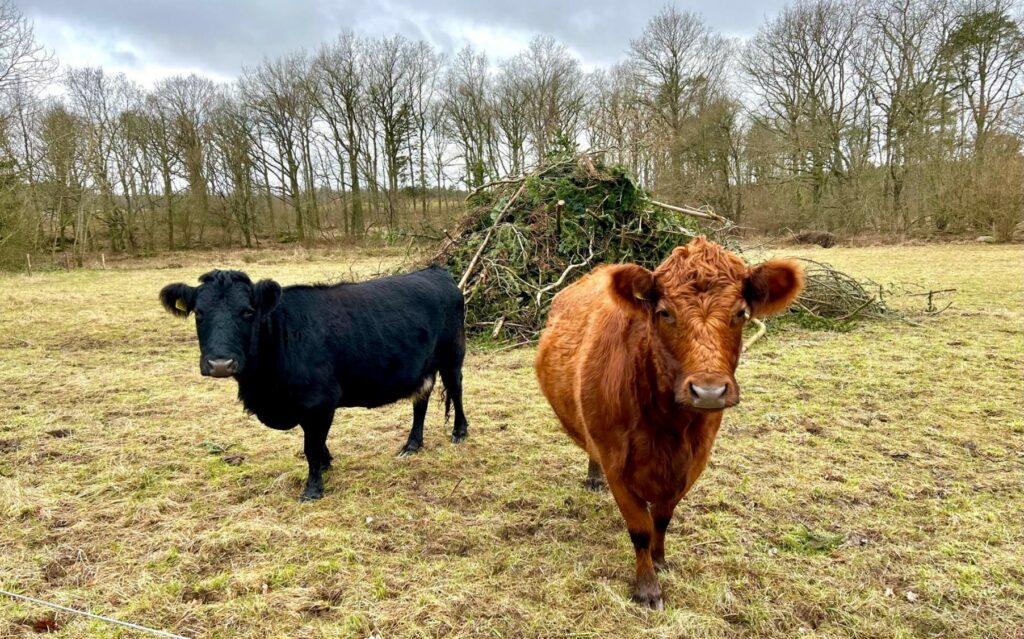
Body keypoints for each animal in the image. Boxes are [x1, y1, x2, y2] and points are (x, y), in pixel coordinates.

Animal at [157, 264, 468, 499]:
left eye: (247, 312)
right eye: (199, 313)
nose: (220, 364)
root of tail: (436, 271)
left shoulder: (319, 401)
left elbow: (311, 447)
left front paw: (313, 488)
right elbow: (316, 444)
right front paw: (327, 463)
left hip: (452, 355)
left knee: (456, 389)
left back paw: (459, 432)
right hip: (422, 367)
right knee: (420, 401)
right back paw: (412, 445)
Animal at [532, 237, 802, 606]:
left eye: (740, 313)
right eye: (665, 313)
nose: (708, 391)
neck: (666, 425)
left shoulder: (693, 462)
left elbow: (662, 517)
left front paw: (660, 561)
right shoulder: (616, 463)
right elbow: (640, 529)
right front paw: (647, 587)